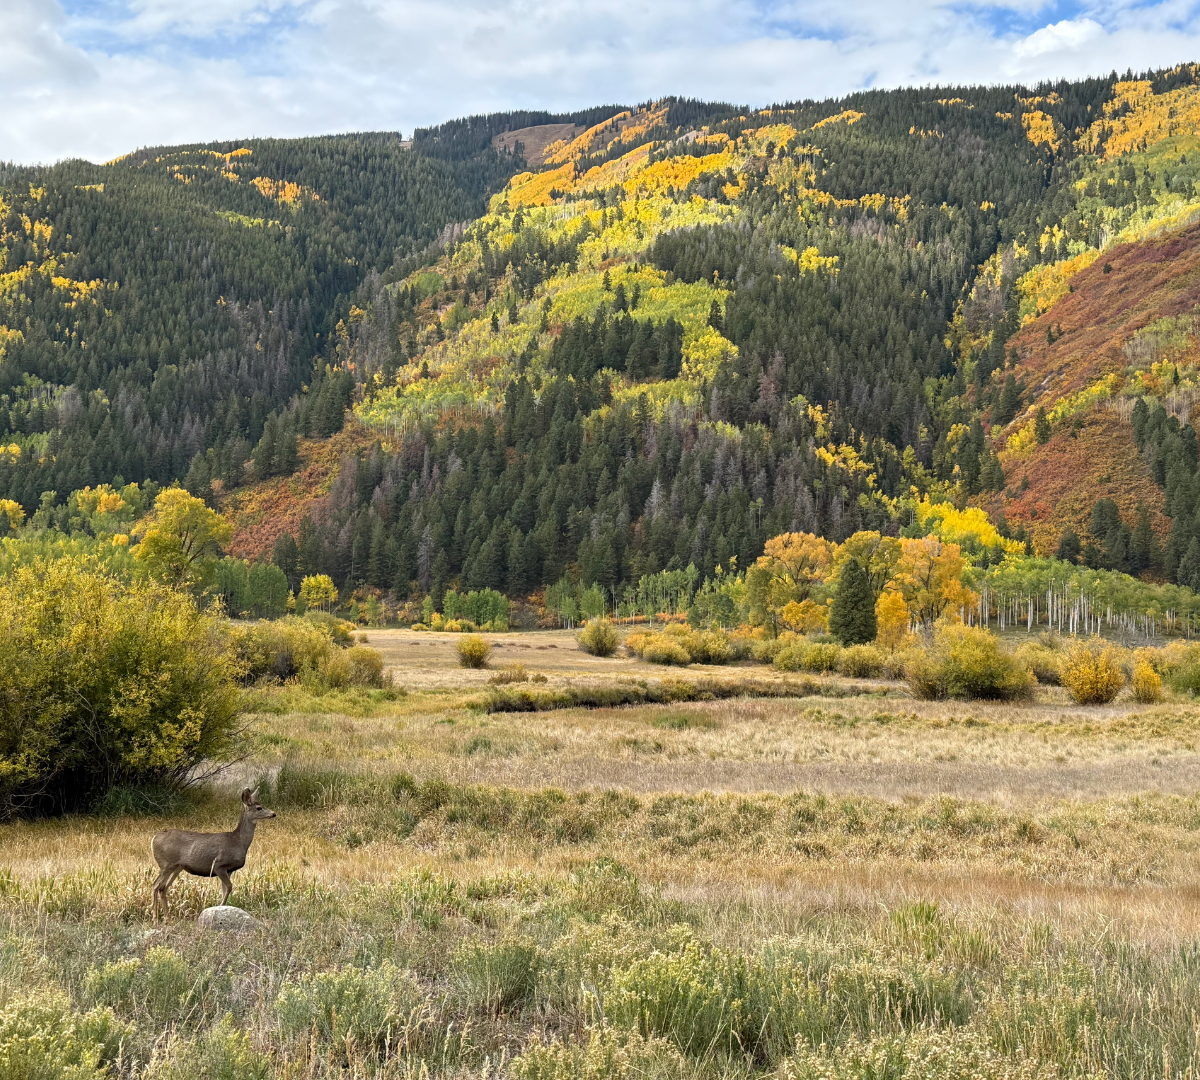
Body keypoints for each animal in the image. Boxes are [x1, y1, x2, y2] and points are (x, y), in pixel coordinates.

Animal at [150, 788, 276, 920]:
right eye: (259, 807)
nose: (274, 813)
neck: (238, 841)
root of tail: (154, 838)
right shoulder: (219, 865)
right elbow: (229, 887)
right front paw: (219, 907)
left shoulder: (229, 870)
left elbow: (225, 889)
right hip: (166, 864)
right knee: (155, 885)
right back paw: (155, 917)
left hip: (177, 867)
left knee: (163, 888)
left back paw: (167, 918)